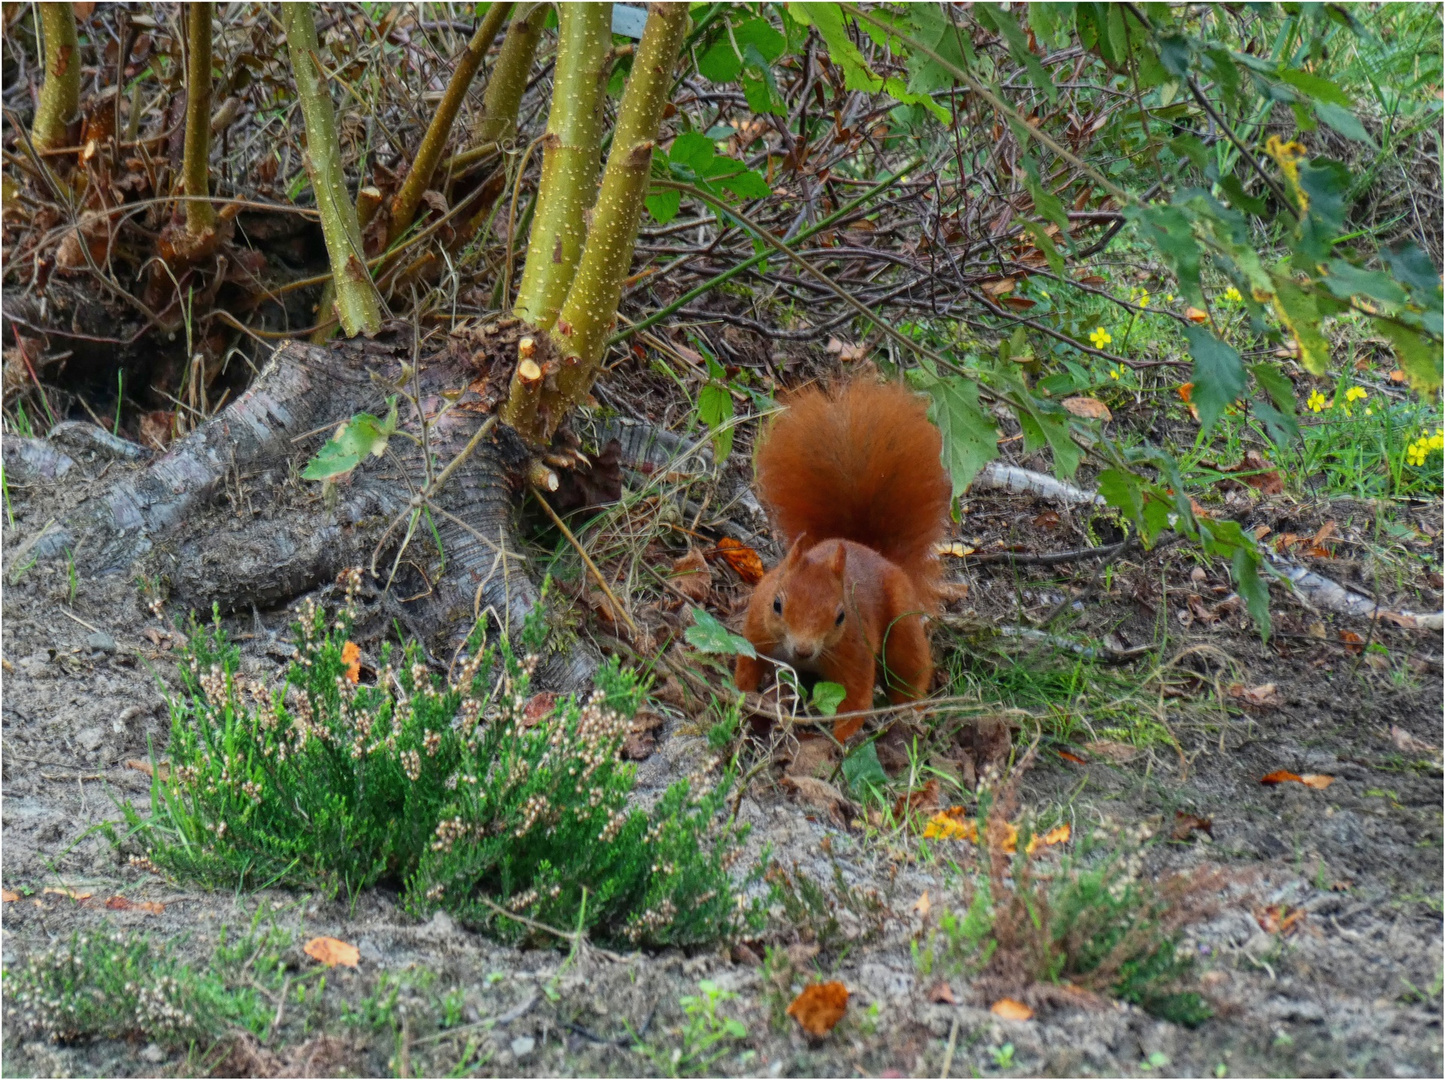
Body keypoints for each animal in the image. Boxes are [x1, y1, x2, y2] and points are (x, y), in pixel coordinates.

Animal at [734, 378, 959, 746]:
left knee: (909, 669)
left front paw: (841, 740)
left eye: (841, 616)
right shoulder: (756, 633)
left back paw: (911, 713)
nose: (803, 650)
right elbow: (747, 666)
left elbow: (856, 698)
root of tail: (870, 550)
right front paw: (742, 699)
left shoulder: (853, 651)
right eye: (777, 604)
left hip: (901, 625)